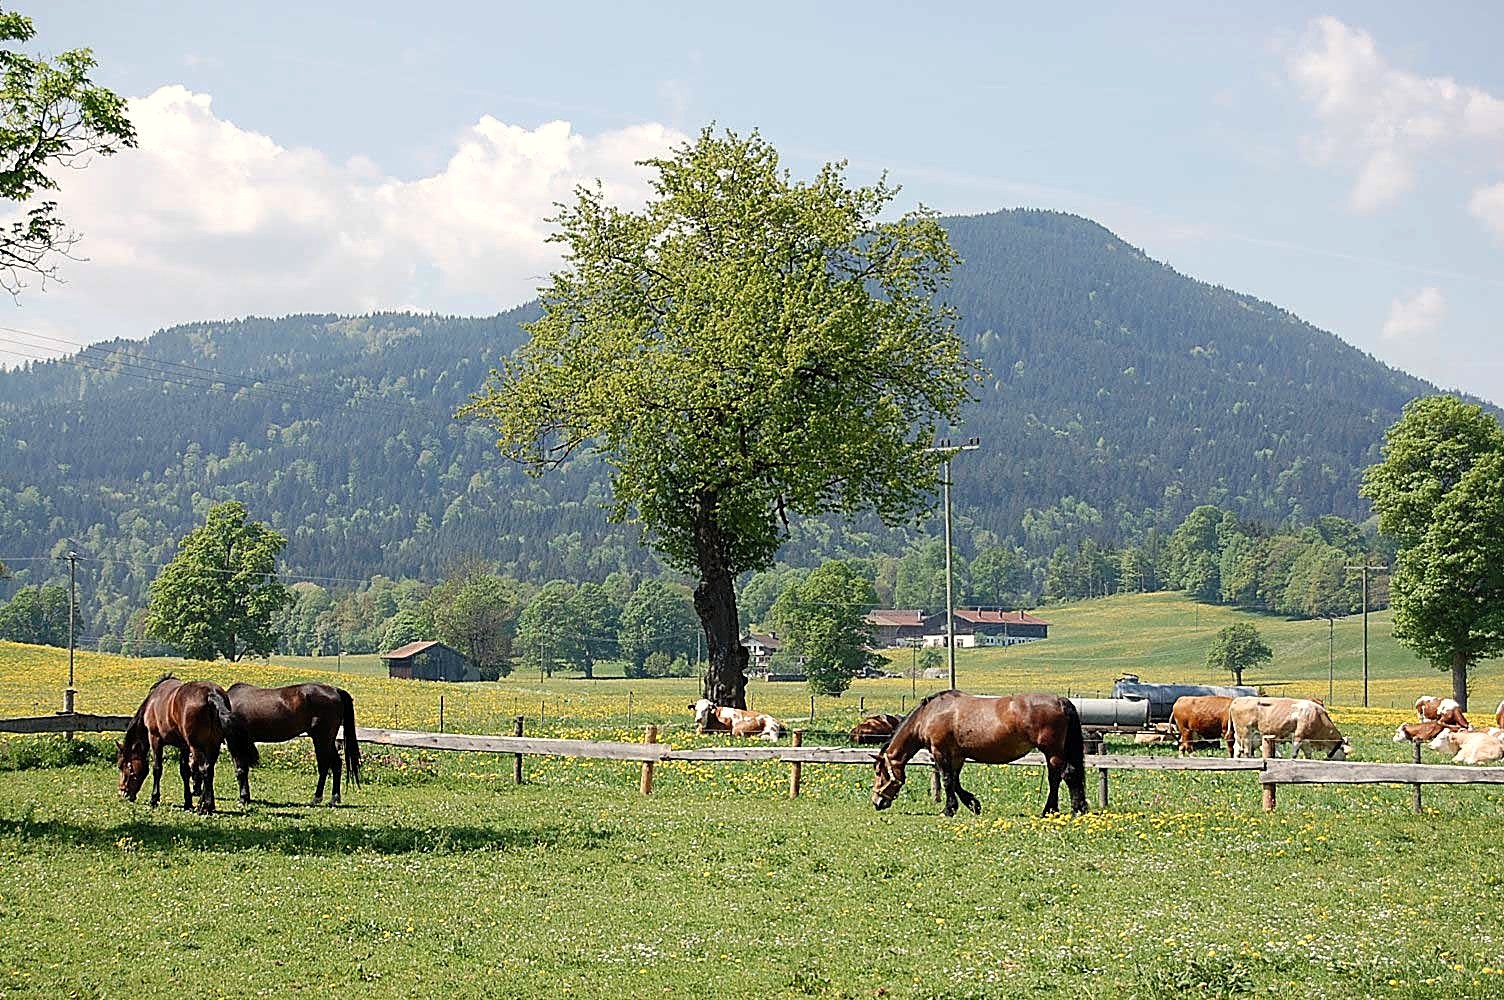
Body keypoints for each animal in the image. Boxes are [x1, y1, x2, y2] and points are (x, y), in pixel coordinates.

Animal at [116, 675, 252, 814]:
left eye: (121, 766)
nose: (123, 793)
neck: (152, 702)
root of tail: (211, 694)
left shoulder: (155, 739)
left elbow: (157, 769)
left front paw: (154, 799)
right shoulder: (184, 746)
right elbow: (185, 771)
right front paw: (188, 803)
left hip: (197, 746)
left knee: (205, 770)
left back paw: (206, 806)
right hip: (213, 745)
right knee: (209, 769)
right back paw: (204, 804)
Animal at [225, 682, 361, 806]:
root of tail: (335, 690)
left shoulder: (235, 742)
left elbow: (240, 770)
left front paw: (243, 799)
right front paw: (247, 798)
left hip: (322, 739)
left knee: (324, 766)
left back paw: (317, 799)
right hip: (327, 740)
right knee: (336, 764)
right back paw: (334, 799)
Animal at [871, 690, 1088, 817]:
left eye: (879, 772)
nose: (877, 802)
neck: (930, 714)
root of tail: (1060, 701)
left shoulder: (940, 752)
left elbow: (947, 780)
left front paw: (948, 810)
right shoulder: (957, 755)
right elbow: (955, 782)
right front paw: (973, 804)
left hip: (1052, 751)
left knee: (1064, 776)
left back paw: (1061, 810)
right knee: (1062, 776)